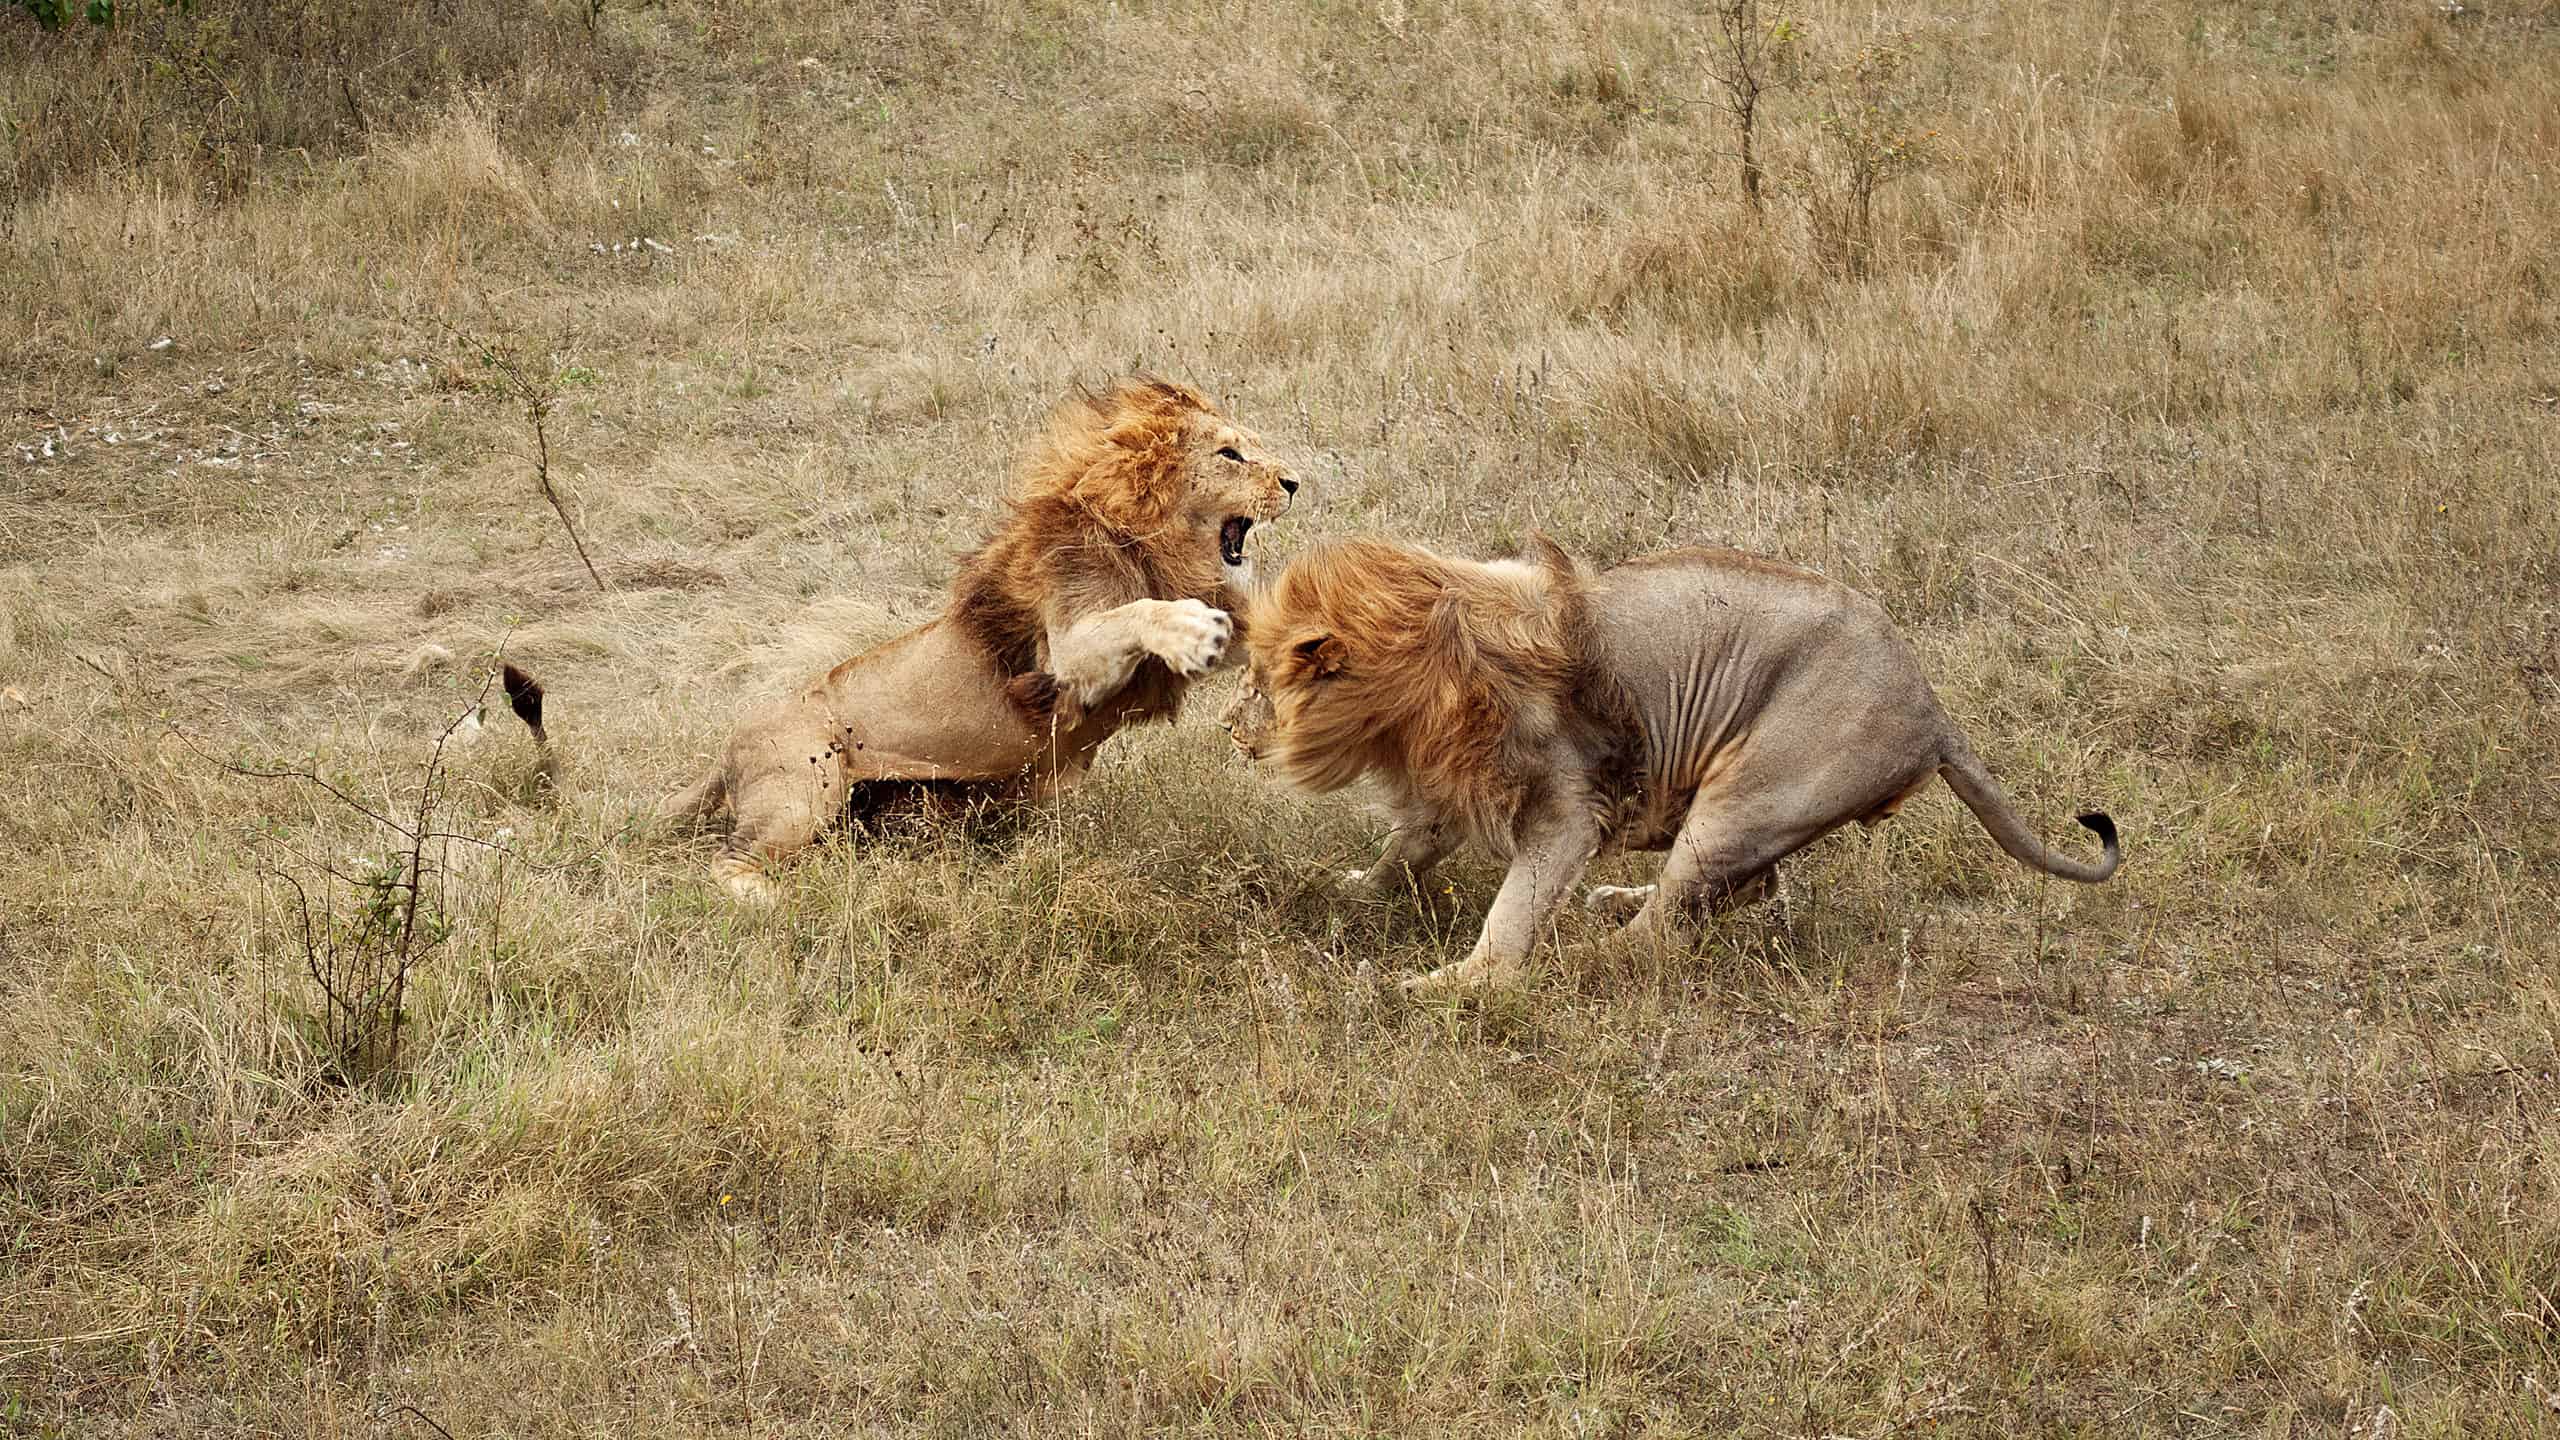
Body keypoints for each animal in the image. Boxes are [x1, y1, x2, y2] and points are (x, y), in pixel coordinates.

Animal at [660, 379, 1300, 896]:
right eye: (1229, 454)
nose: (1294, 483)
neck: (1154, 544)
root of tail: (726, 747)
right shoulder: (1064, 659)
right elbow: (1137, 613)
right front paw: (1192, 629)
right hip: (801, 789)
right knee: (727, 861)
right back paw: (772, 899)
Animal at [1218, 532, 2119, 994]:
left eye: (1258, 682)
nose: (1227, 728)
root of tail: (1936, 714)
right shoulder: (1446, 787)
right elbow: (1403, 851)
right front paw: (1353, 891)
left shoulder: (1568, 806)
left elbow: (1510, 913)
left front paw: (1453, 985)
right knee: (1743, 895)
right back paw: (1618, 899)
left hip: (1751, 792)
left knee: (1661, 940)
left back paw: (1576, 957)